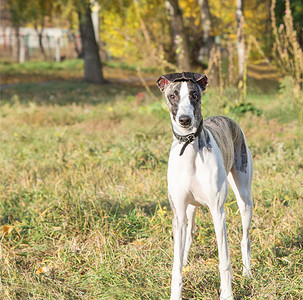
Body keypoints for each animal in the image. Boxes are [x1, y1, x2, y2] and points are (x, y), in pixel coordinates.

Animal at [157, 71, 254, 298]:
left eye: (194, 95)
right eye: (172, 96)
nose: (185, 120)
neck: (189, 147)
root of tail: (228, 118)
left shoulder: (218, 212)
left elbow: (224, 262)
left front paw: (227, 294)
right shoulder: (178, 213)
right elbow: (176, 266)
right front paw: (175, 294)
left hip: (245, 198)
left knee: (245, 238)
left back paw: (247, 273)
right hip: (190, 210)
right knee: (188, 237)